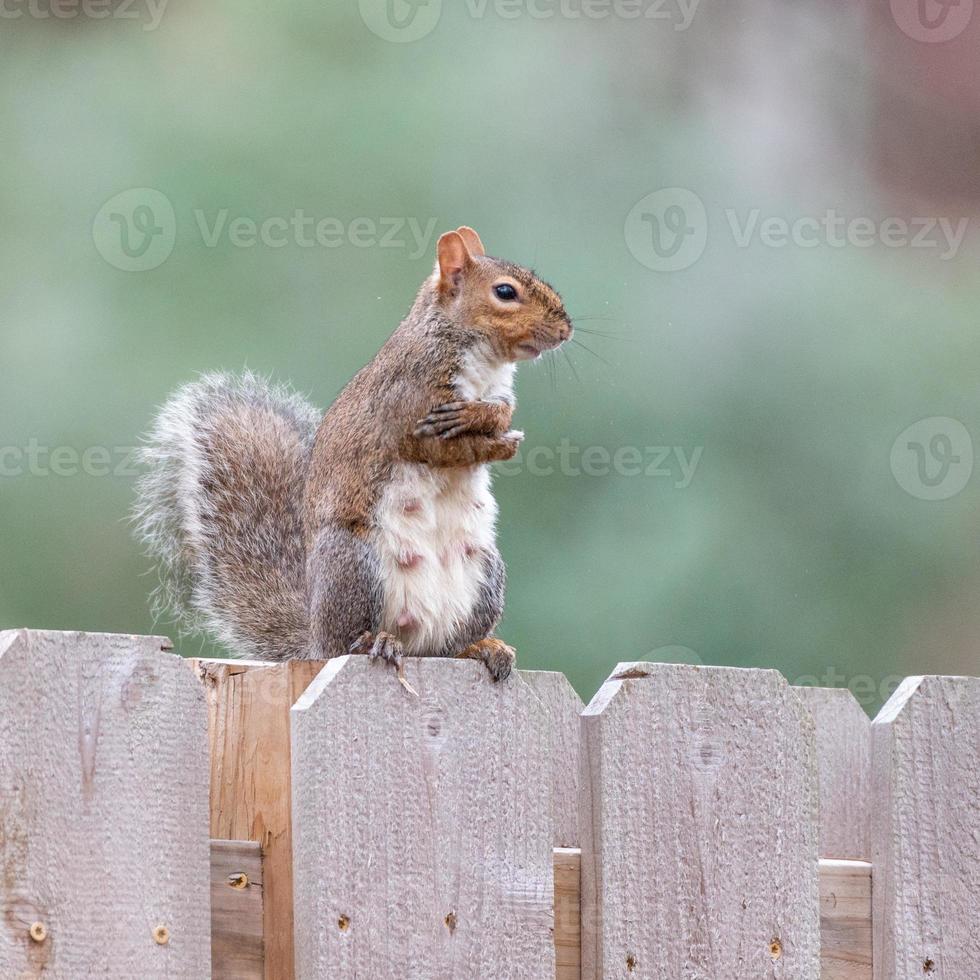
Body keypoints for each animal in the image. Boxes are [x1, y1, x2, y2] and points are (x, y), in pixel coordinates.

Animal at [134, 226, 572, 680]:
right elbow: (433, 446)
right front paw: (494, 439)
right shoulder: (407, 402)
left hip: (485, 574)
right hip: (355, 564)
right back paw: (373, 641)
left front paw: (493, 426)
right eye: (505, 292)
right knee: (350, 639)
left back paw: (481, 646)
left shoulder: (497, 395)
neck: (480, 360)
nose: (566, 330)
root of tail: (313, 638)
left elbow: (499, 413)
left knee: (449, 647)